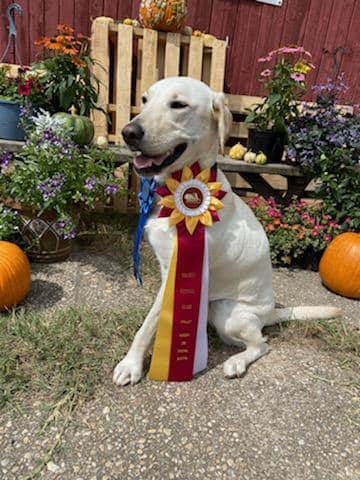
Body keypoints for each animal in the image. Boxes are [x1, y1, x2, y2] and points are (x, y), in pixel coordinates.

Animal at [114, 78, 342, 386]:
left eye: (179, 105)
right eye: (145, 99)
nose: (129, 132)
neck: (182, 184)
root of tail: (271, 311)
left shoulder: (174, 274)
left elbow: (148, 324)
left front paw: (131, 364)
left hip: (228, 314)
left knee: (262, 344)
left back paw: (236, 363)